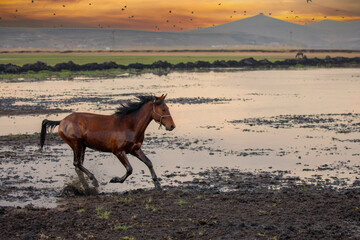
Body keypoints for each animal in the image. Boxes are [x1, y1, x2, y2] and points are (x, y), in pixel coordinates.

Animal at [40, 94, 176, 189]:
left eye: (168, 108)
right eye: (163, 109)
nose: (172, 126)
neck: (129, 126)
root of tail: (62, 121)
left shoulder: (135, 149)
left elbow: (149, 163)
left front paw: (157, 184)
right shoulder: (118, 152)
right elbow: (129, 169)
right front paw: (115, 180)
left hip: (82, 146)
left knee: (78, 165)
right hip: (76, 144)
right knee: (77, 163)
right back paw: (94, 181)